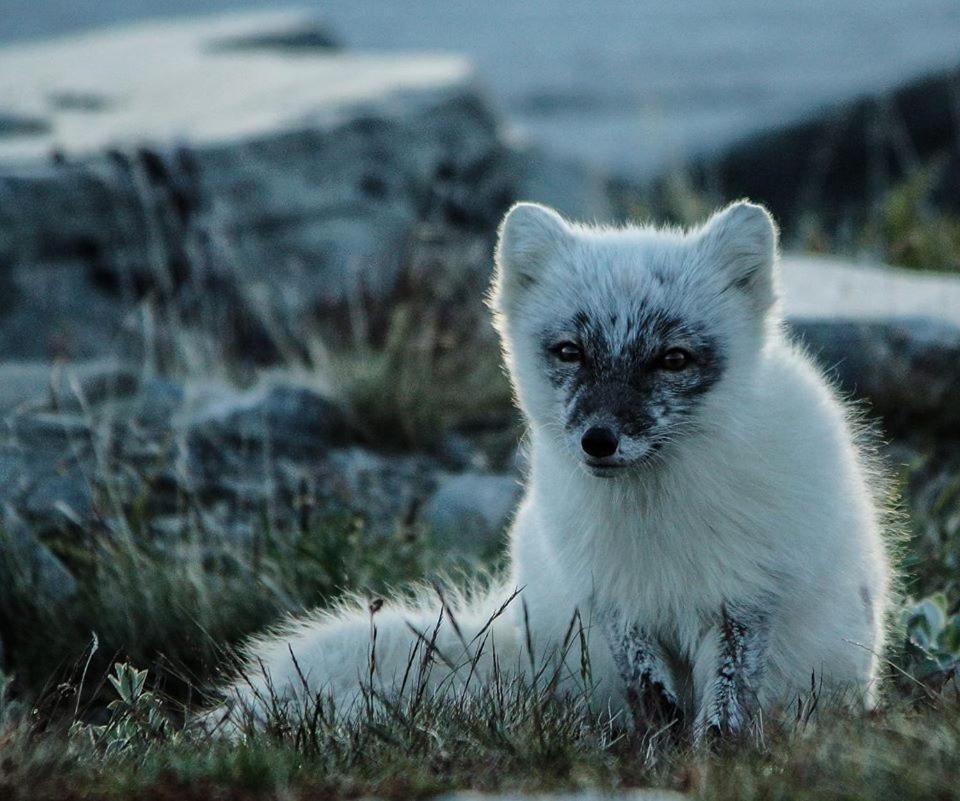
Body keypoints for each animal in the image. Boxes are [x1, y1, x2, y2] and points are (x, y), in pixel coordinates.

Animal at [219, 200, 892, 736]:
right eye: (570, 351)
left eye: (673, 359)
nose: (599, 441)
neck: (655, 525)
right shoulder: (607, 597)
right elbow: (646, 684)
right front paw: (664, 745)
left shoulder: (744, 601)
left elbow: (727, 701)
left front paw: (715, 757)